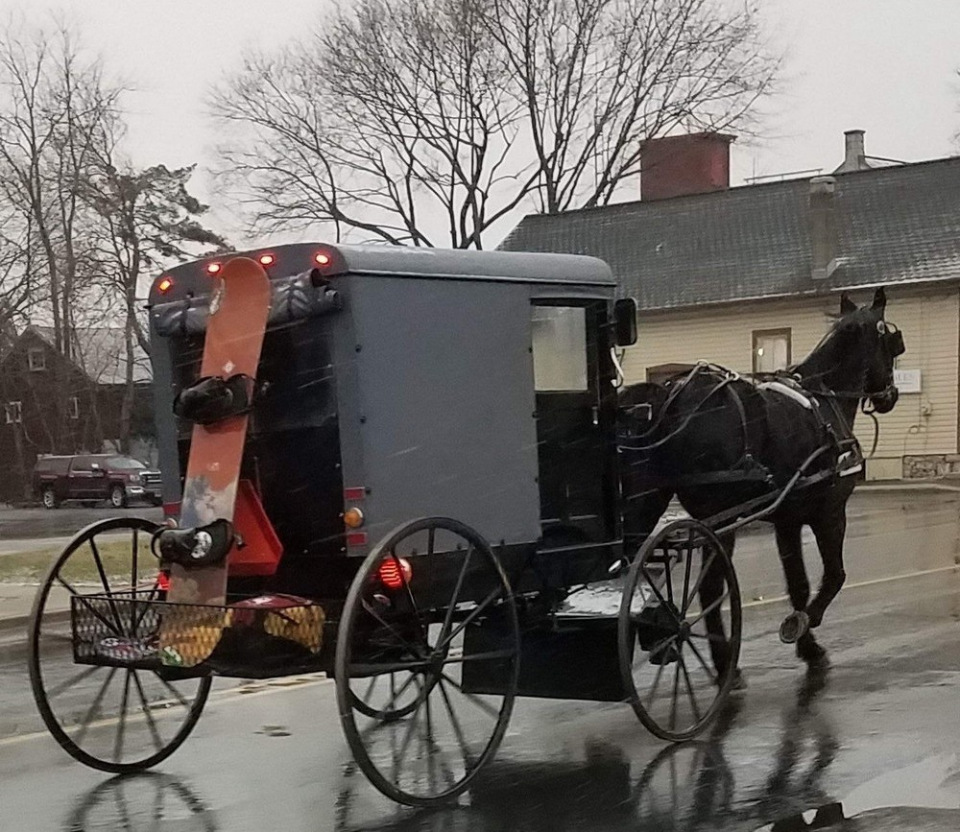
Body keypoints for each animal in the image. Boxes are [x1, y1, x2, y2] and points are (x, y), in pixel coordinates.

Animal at [617, 287, 905, 679]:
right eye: (890, 344)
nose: (890, 396)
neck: (826, 397)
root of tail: (671, 395)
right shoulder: (830, 511)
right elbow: (835, 575)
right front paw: (805, 623)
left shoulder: (787, 520)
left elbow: (798, 584)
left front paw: (808, 646)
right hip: (718, 517)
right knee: (710, 587)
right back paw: (721, 660)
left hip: (651, 499)